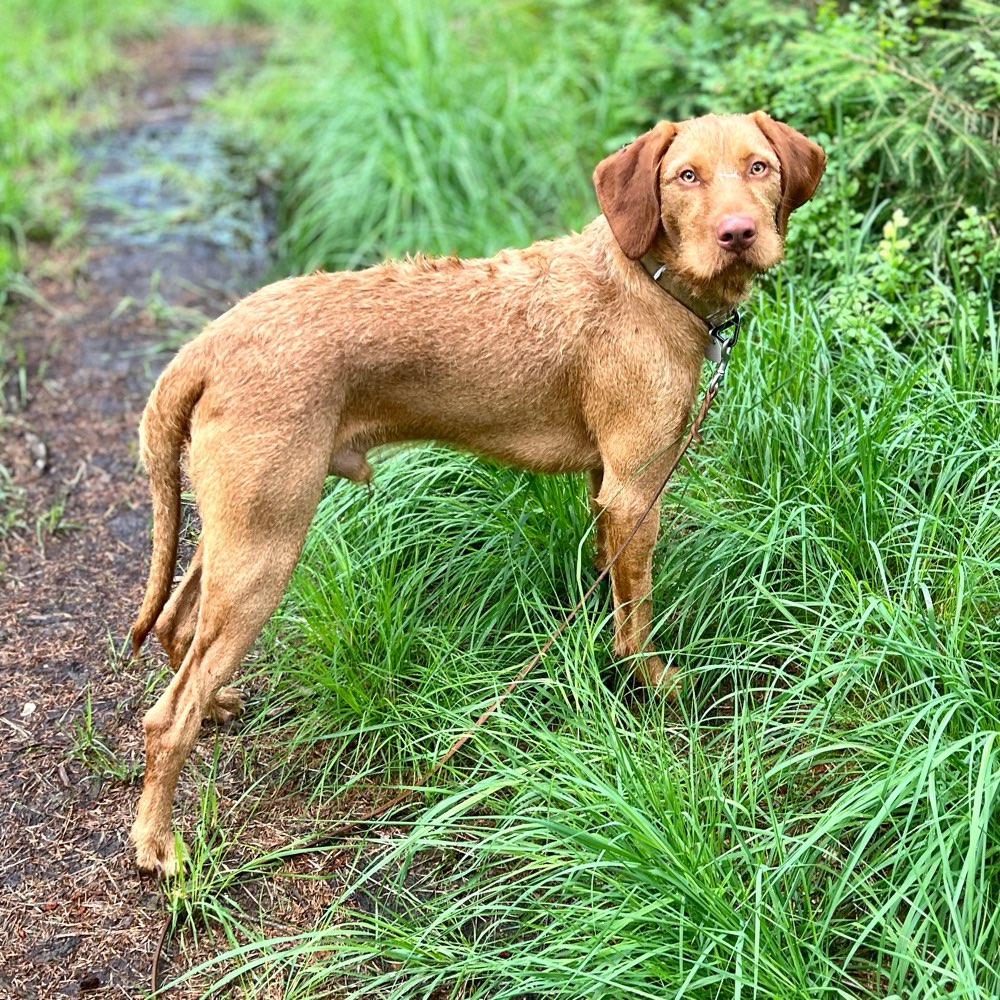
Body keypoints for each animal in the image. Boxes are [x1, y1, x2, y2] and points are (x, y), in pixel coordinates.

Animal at [129, 111, 824, 876]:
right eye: (685, 176)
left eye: (759, 167)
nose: (738, 233)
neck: (648, 277)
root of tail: (208, 344)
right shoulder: (637, 487)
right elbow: (638, 614)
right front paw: (651, 682)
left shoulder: (604, 487)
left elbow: (609, 582)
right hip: (265, 547)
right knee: (165, 717)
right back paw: (158, 844)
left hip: (238, 528)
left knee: (177, 626)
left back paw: (217, 705)